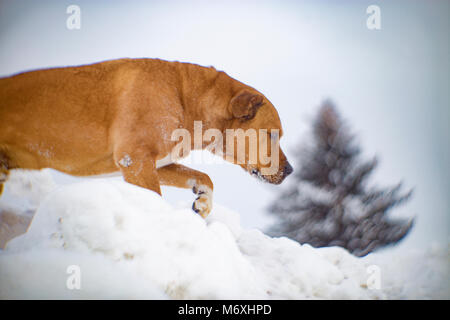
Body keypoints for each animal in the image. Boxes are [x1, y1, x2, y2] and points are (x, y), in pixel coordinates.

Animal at [0, 58, 292, 218]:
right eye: (272, 134)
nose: (290, 170)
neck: (186, 99)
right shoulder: (136, 160)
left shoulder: (157, 164)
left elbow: (204, 178)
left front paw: (203, 204)